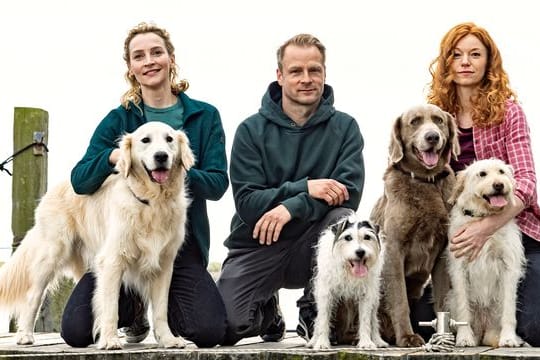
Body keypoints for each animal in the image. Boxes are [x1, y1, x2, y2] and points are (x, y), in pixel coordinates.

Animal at [0, 121, 195, 348]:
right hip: (52, 253)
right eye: (145, 140)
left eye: (169, 139)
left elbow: (161, 309)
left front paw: (168, 339)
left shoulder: (163, 263)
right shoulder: (113, 260)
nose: (161, 156)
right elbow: (110, 306)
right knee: (33, 296)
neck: (152, 202)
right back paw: (24, 335)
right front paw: (110, 340)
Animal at [308, 212, 388, 350]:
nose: (360, 252)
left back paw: (378, 340)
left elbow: (366, 320)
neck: (349, 270)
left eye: (367, 237)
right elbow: (323, 319)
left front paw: (366, 342)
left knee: (373, 319)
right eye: (348, 237)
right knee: (318, 319)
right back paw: (313, 340)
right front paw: (322, 343)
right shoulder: (325, 293)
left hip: (375, 297)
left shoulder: (366, 294)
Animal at [372, 103, 460, 346]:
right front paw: (407, 337)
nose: (432, 137)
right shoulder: (394, 249)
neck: (426, 182)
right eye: (415, 122)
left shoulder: (443, 251)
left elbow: (442, 298)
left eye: (439, 120)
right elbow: (399, 300)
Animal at [448, 159, 528, 348]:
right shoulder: (459, 268)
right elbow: (463, 308)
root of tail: (484, 329)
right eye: (482, 174)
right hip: (450, 299)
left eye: (501, 172)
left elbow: (509, 310)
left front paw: (508, 338)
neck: (483, 217)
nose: (499, 185)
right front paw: (464, 337)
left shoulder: (509, 267)